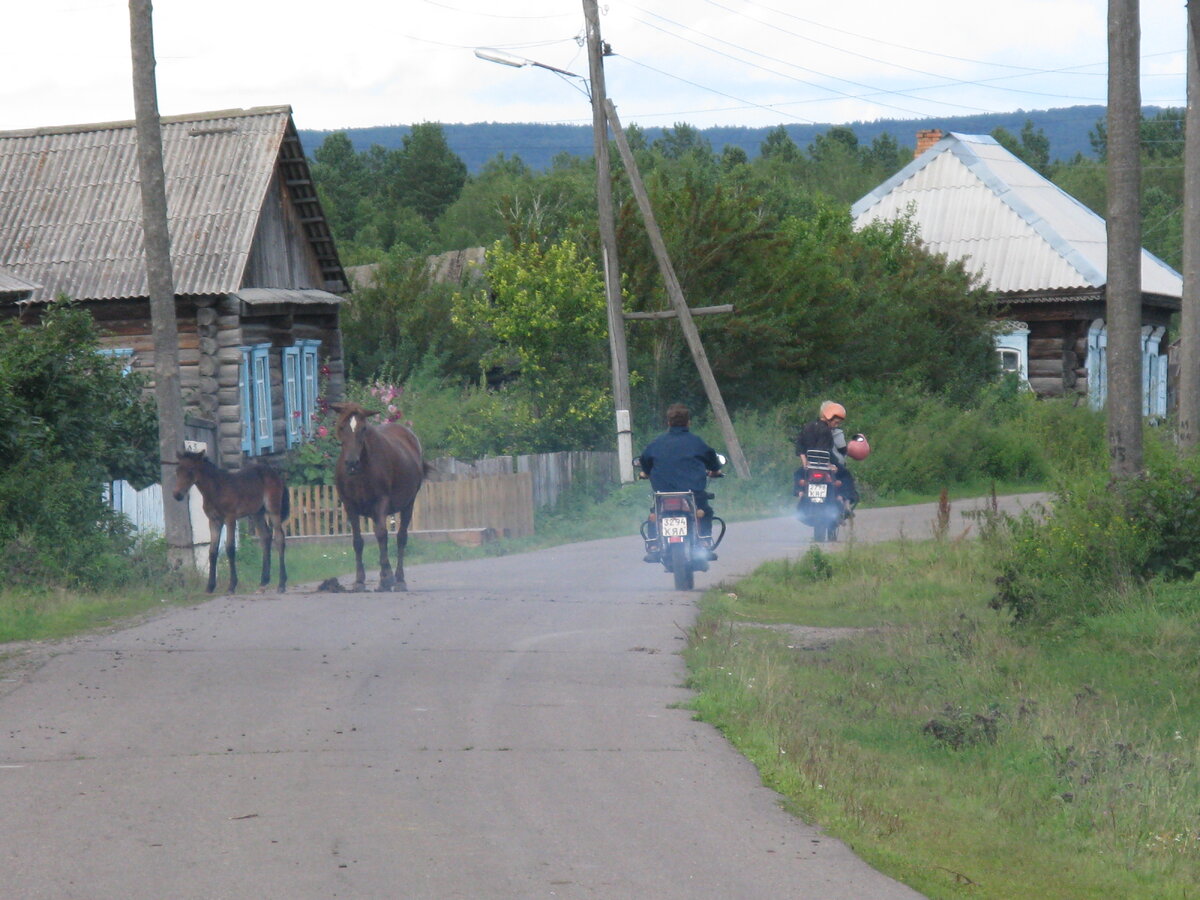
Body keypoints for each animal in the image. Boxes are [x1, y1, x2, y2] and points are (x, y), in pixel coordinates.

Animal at [171, 448, 290, 592]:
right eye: (177, 470)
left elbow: (230, 548)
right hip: (257, 513)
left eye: (190, 470)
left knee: (279, 538)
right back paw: (264, 580)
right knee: (266, 537)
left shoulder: (230, 518)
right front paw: (210, 586)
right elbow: (212, 551)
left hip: (273, 509)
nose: (177, 495)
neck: (216, 489)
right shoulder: (214, 521)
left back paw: (281, 584)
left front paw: (232, 585)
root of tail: (276, 475)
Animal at [336, 400, 429, 592]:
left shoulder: (381, 501)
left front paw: (388, 577)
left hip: (408, 503)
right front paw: (359, 580)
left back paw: (399, 579)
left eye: (363, 428)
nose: (352, 463)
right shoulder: (349, 505)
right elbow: (358, 541)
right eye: (341, 426)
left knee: (400, 538)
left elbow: (382, 534)